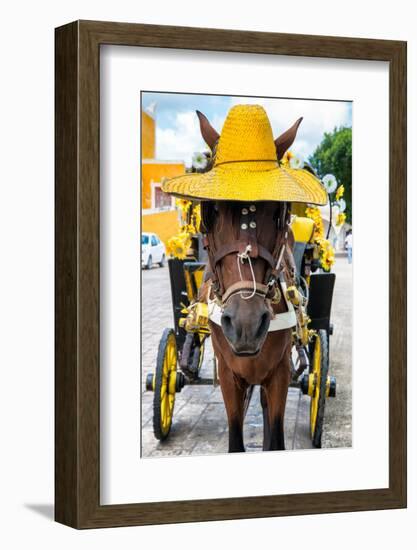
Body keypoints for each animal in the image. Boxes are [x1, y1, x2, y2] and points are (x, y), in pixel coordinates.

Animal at [197, 111, 300, 452]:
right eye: (210, 211)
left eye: (278, 211)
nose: (246, 323)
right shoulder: (229, 376)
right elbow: (235, 439)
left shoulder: (280, 373)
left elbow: (276, 438)